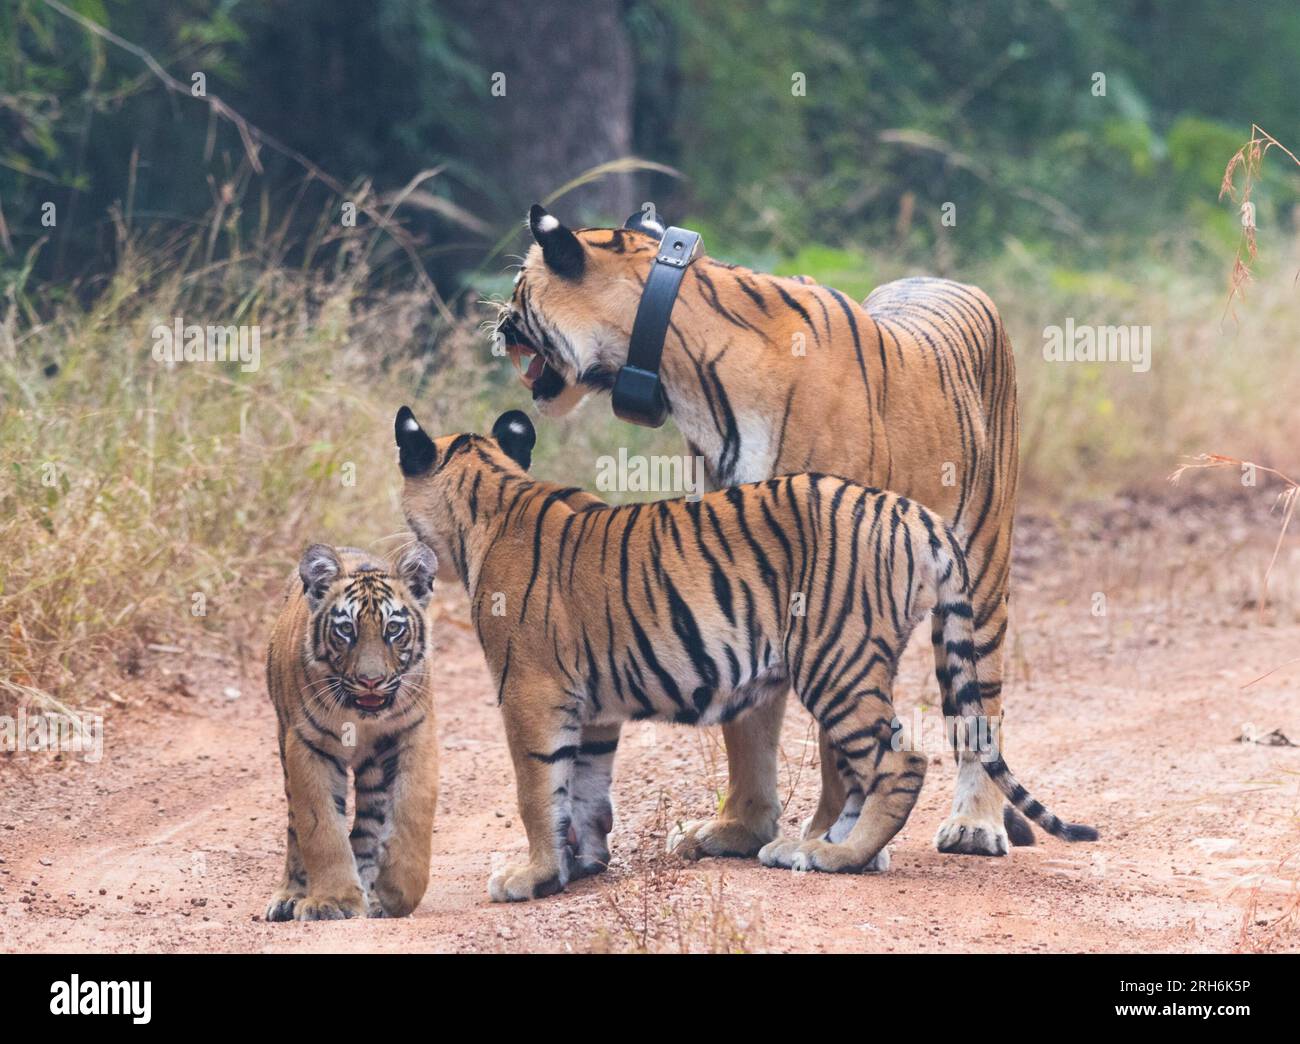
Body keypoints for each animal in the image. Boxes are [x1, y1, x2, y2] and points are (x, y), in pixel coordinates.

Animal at [392, 403, 1086, 904]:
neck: (492, 491)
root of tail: (915, 514)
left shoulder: (530, 694)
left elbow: (539, 791)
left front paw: (531, 876)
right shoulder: (593, 709)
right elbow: (584, 787)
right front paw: (581, 865)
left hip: (834, 661)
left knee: (901, 761)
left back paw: (838, 856)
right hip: (861, 664)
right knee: (866, 765)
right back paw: (804, 848)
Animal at [493, 204, 1024, 863]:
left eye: (520, 287)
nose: (497, 324)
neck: (680, 375)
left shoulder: (833, 576)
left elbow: (836, 741)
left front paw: (829, 837)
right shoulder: (732, 560)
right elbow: (744, 724)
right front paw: (736, 829)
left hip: (980, 579)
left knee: (981, 705)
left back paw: (975, 825)